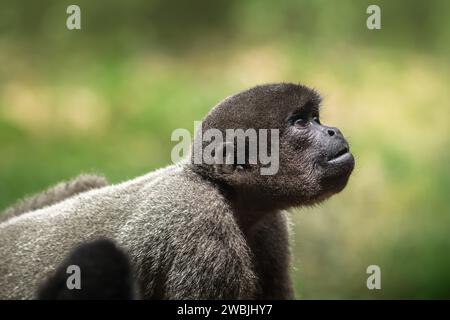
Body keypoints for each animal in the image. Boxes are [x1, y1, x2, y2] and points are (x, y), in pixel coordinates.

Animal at [0, 83, 356, 300]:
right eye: (300, 123)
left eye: (316, 118)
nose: (332, 130)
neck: (221, 190)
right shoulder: (199, 228)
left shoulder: (270, 227)